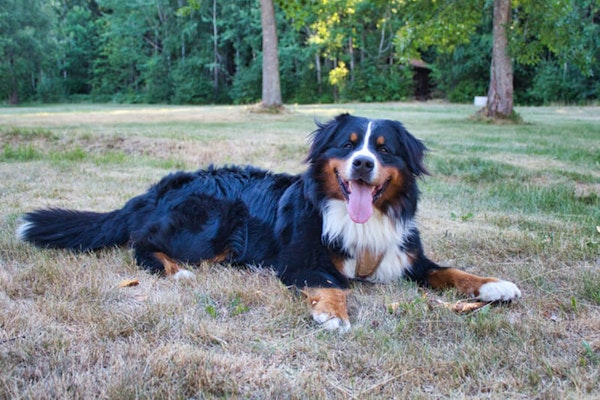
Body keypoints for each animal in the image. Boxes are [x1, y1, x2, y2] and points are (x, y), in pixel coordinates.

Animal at [16, 112, 516, 332]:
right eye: (349, 143)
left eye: (384, 148)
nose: (362, 164)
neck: (360, 219)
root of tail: (164, 185)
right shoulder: (301, 262)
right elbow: (332, 285)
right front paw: (333, 314)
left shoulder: (406, 255)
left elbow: (450, 271)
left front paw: (494, 285)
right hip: (213, 221)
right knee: (142, 244)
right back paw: (177, 273)